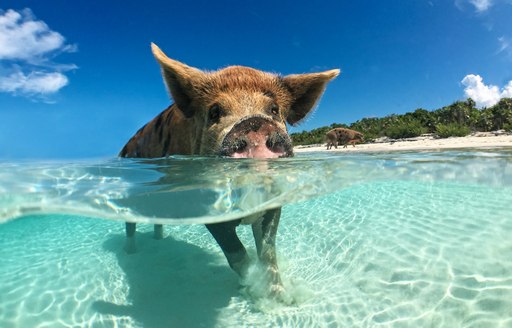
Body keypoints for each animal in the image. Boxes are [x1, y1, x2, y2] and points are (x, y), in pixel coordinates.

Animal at [118, 43, 338, 300]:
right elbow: (236, 253)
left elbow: (268, 253)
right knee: (129, 225)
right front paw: (254, 292)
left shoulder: (273, 202)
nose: (254, 124)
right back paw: (130, 252)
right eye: (214, 111)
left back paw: (158, 240)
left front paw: (282, 299)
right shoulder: (204, 205)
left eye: (274, 110)